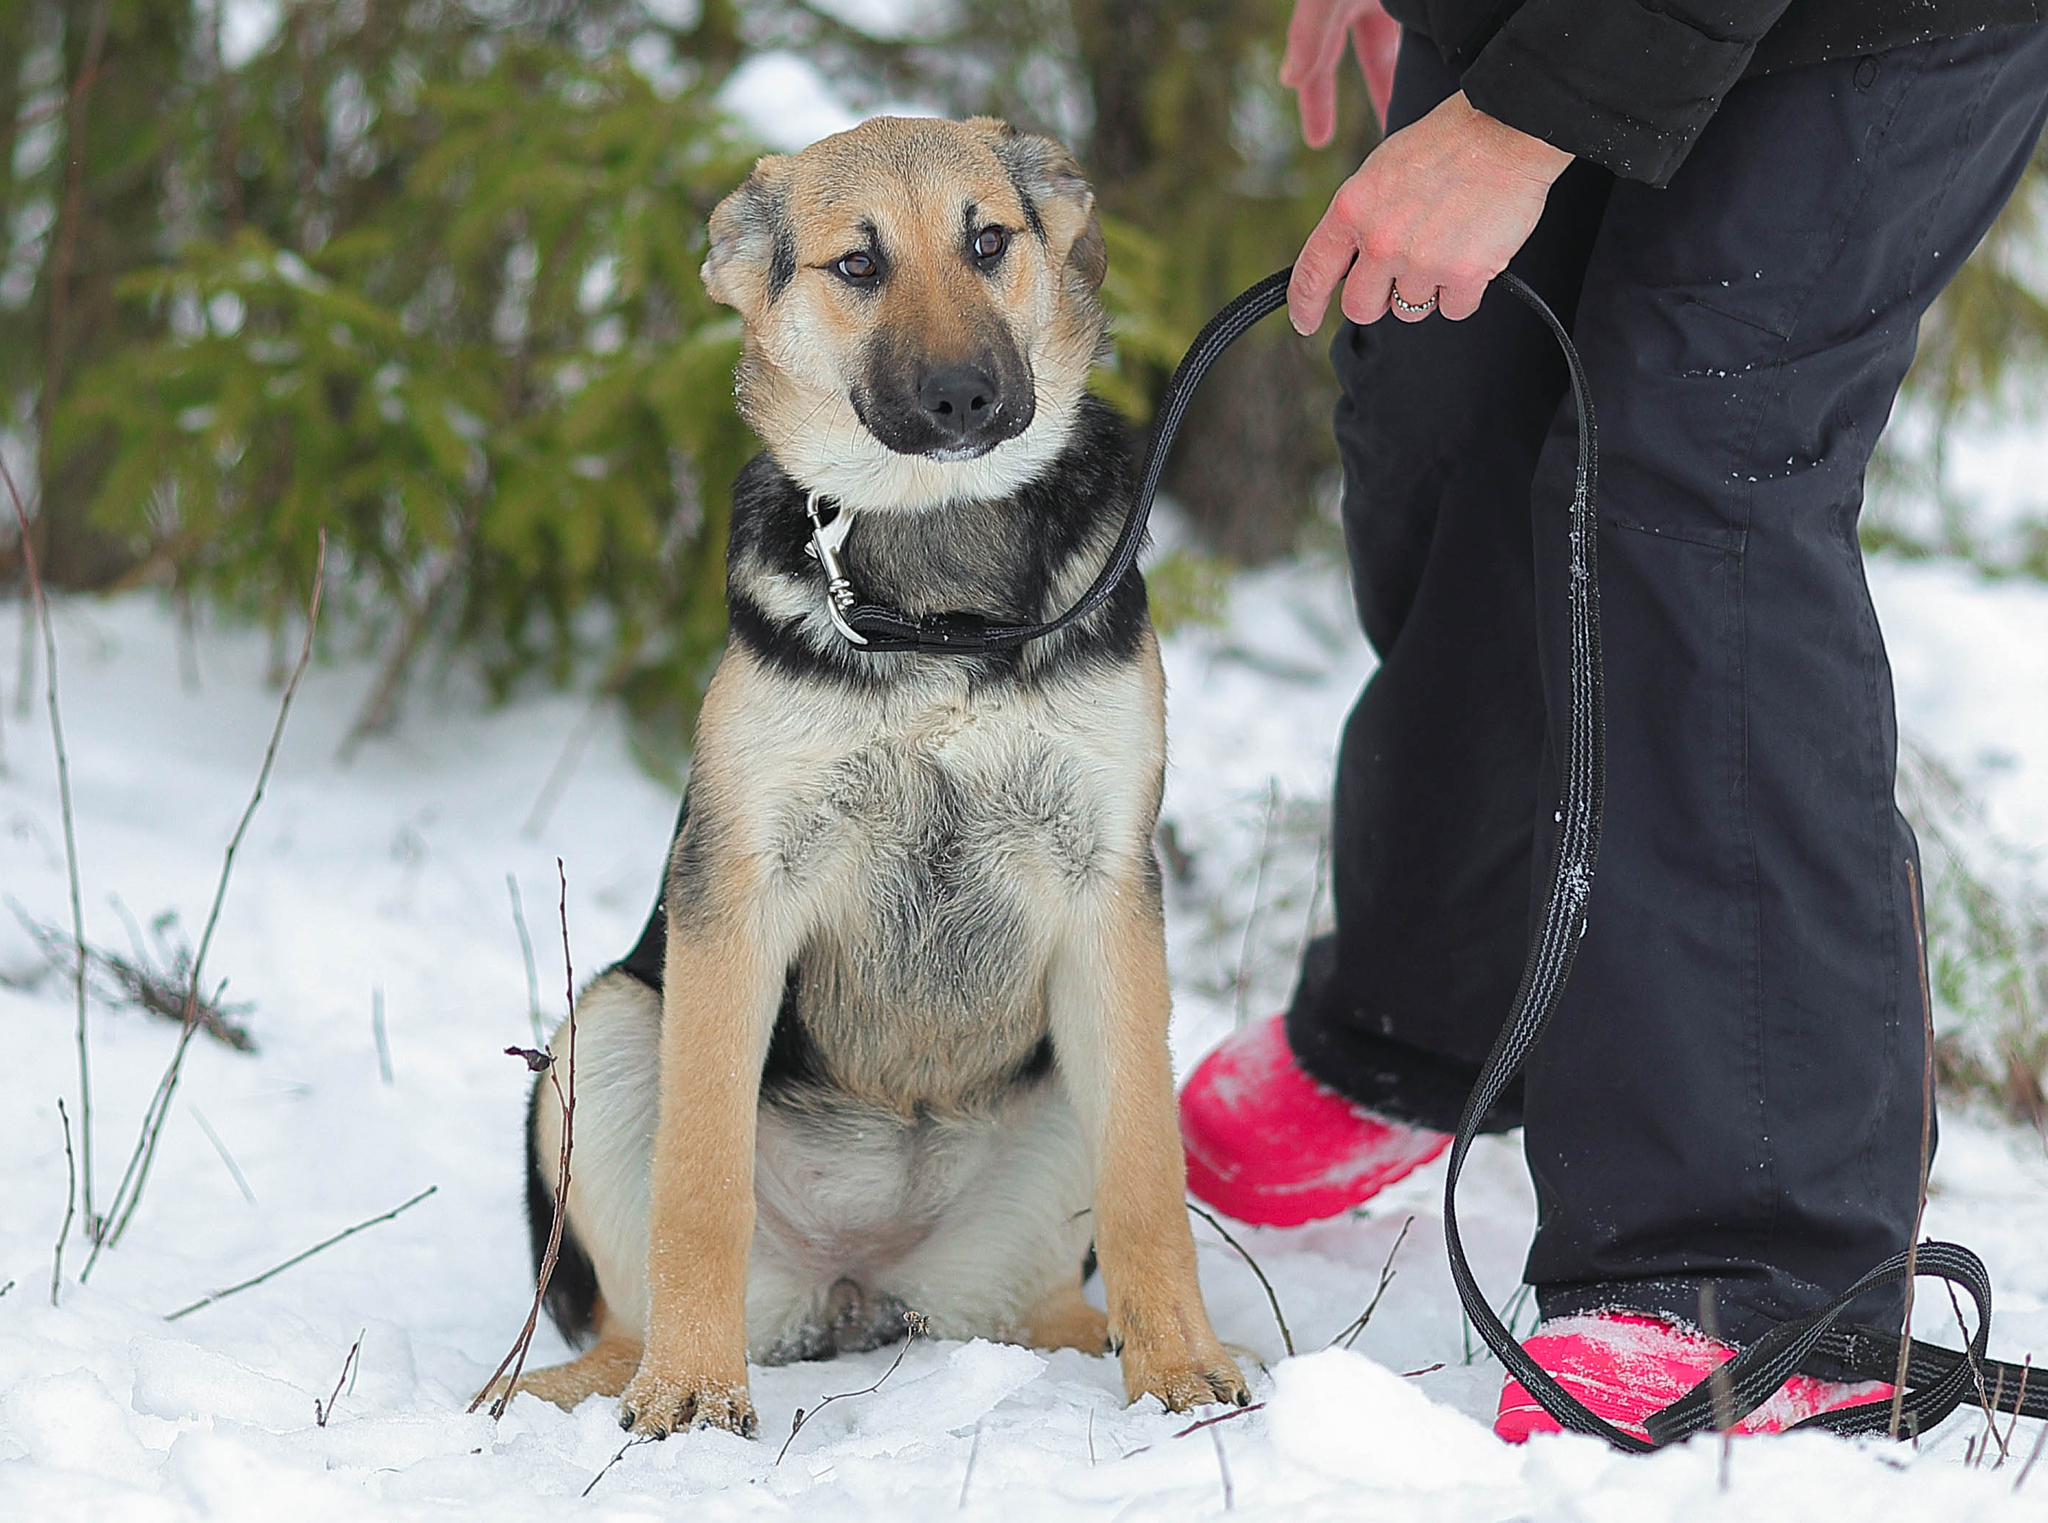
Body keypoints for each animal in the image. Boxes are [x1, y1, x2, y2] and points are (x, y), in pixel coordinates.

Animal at [499, 113, 1245, 1432]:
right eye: (857, 263)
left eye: (987, 240)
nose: (965, 395)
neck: (933, 589)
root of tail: (856, 1281)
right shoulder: (738, 892)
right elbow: (701, 1187)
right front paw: (693, 1393)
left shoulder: (1106, 891)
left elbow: (1150, 1184)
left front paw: (1179, 1368)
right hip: (608, 1026)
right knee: (634, 1299)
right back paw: (610, 1374)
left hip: (1055, 1111)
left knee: (1057, 1272)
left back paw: (1107, 1342)